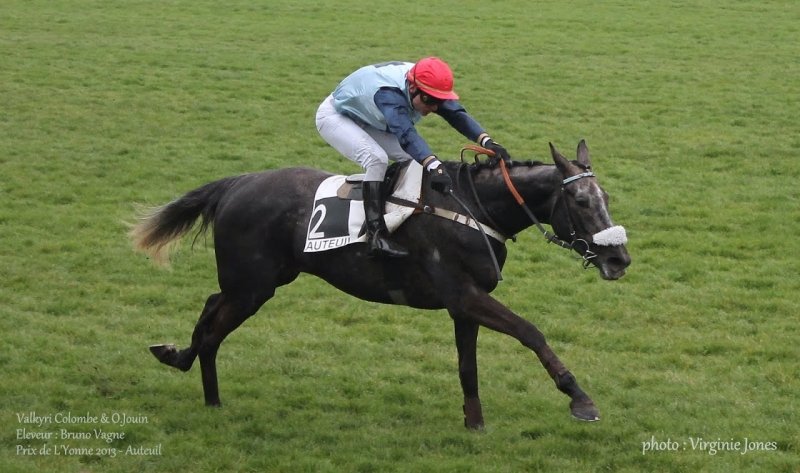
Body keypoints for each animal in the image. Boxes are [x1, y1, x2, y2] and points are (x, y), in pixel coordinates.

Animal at [130, 140, 630, 429]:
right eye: (581, 200)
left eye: (606, 197)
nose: (619, 258)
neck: (472, 208)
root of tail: (237, 184)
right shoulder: (464, 294)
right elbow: (531, 332)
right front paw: (580, 398)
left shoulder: (464, 303)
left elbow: (467, 367)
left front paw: (474, 423)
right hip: (252, 287)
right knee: (214, 327)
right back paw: (202, 387)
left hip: (255, 283)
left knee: (210, 309)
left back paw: (187, 369)